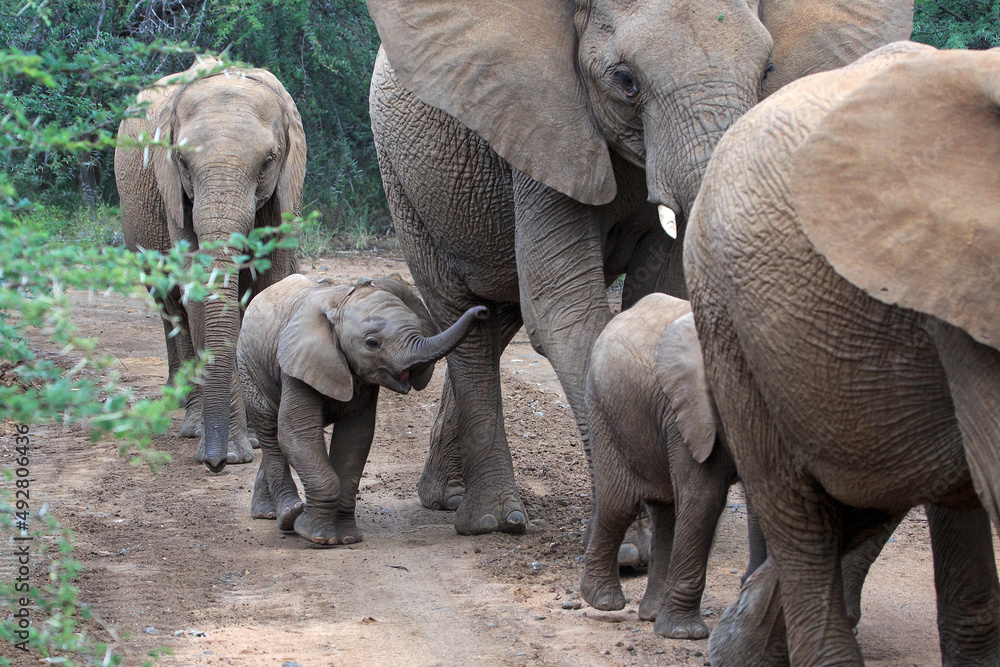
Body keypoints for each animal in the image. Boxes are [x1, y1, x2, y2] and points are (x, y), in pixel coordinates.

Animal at [115, 57, 305, 472]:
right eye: (182, 161)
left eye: (267, 162)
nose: (215, 464)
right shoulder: (172, 193)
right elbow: (196, 292)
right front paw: (234, 451)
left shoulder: (286, 191)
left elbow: (269, 284)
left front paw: (254, 441)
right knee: (171, 305)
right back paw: (189, 421)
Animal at [237, 274, 488, 545]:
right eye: (372, 343)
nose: (482, 310)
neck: (340, 302)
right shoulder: (298, 363)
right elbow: (297, 433)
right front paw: (318, 537)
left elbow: (355, 439)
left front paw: (347, 538)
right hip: (248, 368)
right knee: (270, 430)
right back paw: (286, 514)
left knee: (277, 438)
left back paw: (273, 514)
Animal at [367, 0, 914, 536]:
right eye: (625, 80)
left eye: (768, 70)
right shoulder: (542, 122)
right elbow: (564, 311)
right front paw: (631, 543)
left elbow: (660, 294)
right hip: (404, 180)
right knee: (461, 312)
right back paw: (492, 520)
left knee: (491, 317)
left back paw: (447, 497)